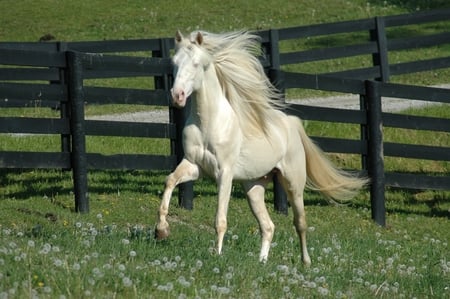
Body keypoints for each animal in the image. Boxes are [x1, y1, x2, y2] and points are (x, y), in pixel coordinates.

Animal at [156, 29, 368, 264]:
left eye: (196, 63)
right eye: (174, 63)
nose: (177, 96)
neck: (209, 123)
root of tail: (291, 124)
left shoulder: (224, 174)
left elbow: (220, 219)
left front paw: (217, 254)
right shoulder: (194, 166)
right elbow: (170, 180)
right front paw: (161, 230)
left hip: (293, 184)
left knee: (300, 223)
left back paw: (305, 261)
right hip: (254, 188)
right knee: (268, 226)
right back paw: (262, 262)